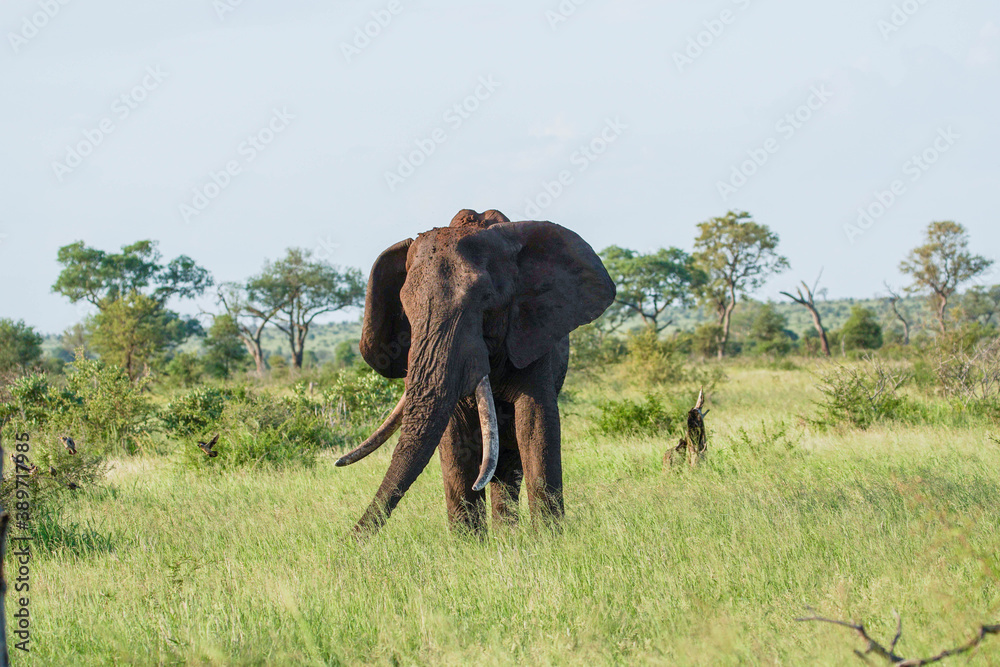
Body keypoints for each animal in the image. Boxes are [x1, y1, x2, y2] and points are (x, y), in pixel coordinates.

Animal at [336, 209, 615, 536]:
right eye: (405, 307)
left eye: (485, 300)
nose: (346, 541)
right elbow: (455, 435)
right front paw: (467, 542)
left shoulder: (532, 331)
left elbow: (535, 422)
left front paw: (549, 538)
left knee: (508, 457)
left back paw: (507, 535)